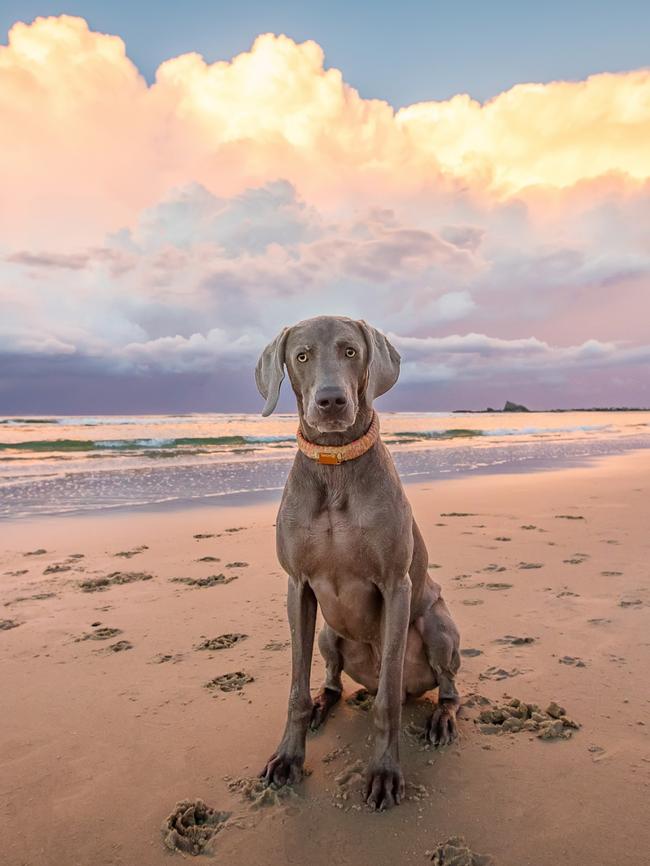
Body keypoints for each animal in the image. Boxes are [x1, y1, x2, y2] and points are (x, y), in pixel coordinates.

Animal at [253, 314, 460, 808]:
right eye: (301, 356)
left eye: (350, 351)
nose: (331, 401)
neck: (335, 466)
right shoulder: (298, 585)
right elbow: (295, 690)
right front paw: (287, 759)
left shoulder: (396, 584)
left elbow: (385, 702)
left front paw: (384, 773)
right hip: (329, 633)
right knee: (330, 679)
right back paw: (323, 705)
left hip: (438, 624)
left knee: (444, 686)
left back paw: (442, 718)